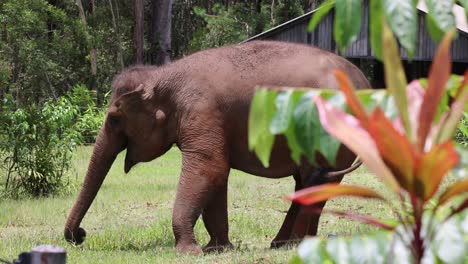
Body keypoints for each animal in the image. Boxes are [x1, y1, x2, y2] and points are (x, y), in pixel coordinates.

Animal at [64, 40, 370, 255]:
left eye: (114, 119)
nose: (79, 235)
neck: (162, 74)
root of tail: (365, 82)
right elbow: (217, 175)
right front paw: (217, 249)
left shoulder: (203, 111)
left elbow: (209, 169)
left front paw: (189, 251)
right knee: (307, 181)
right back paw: (286, 244)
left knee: (315, 181)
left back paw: (293, 243)